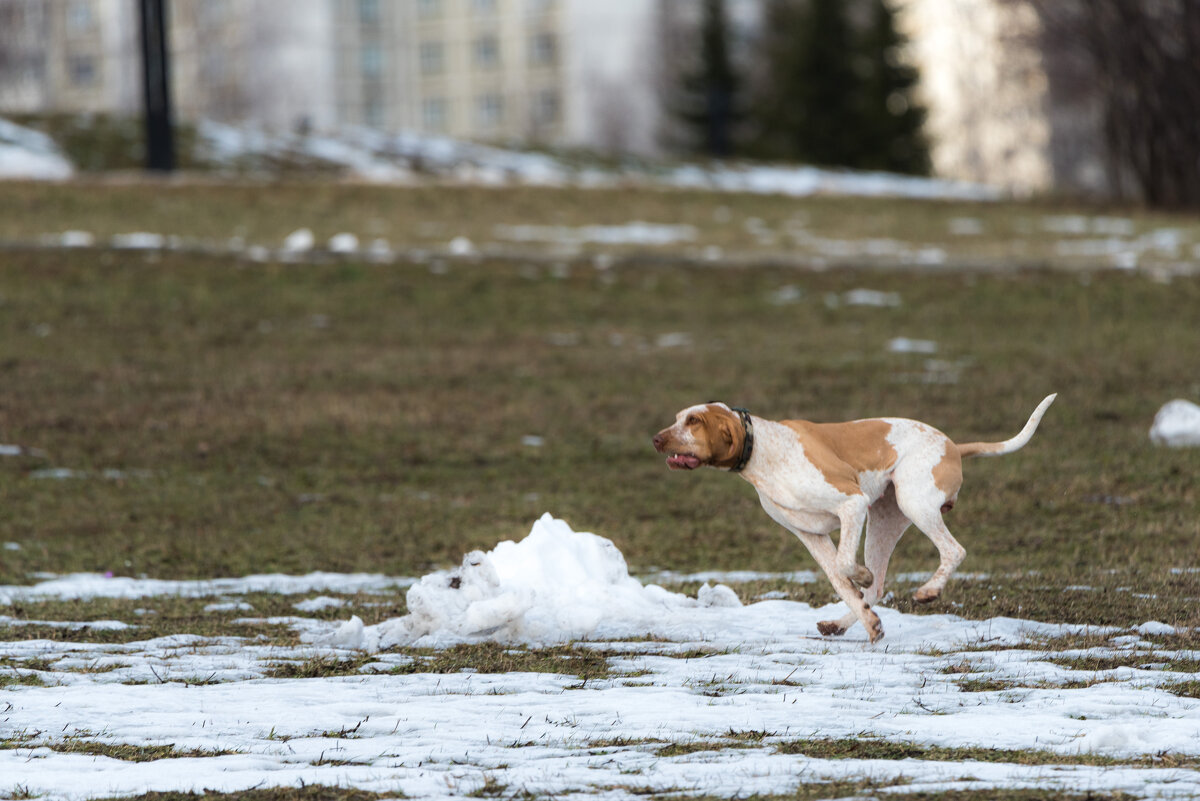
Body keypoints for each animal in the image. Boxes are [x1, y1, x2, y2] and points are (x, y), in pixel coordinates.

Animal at [652, 393, 1056, 642]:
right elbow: (844, 585)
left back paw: (928, 591)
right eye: (677, 419)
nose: (656, 438)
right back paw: (842, 624)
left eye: (694, 421)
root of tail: (953, 445)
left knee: (953, 551)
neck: (764, 451)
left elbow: (849, 567)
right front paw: (868, 621)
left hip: (914, 504)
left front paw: (861, 576)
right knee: (877, 588)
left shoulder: (852, 504)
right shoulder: (810, 536)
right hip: (886, 519)